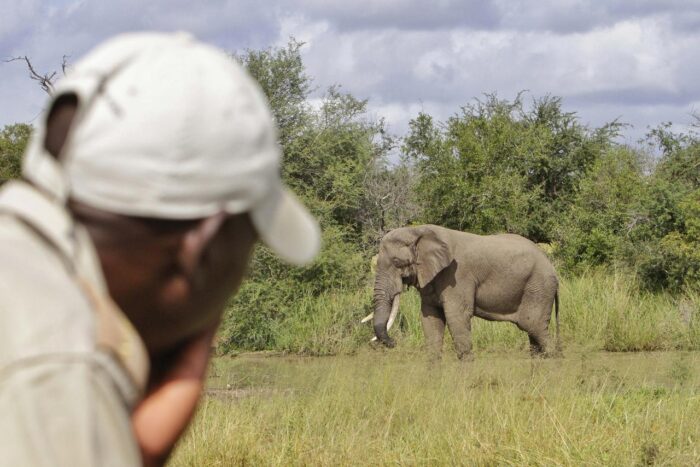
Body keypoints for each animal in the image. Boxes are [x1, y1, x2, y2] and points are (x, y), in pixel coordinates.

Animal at [372, 225, 556, 360]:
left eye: (397, 262)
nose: (393, 342)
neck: (418, 230)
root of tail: (549, 263)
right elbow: (431, 319)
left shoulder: (457, 277)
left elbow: (456, 318)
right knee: (534, 339)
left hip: (539, 287)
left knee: (535, 327)